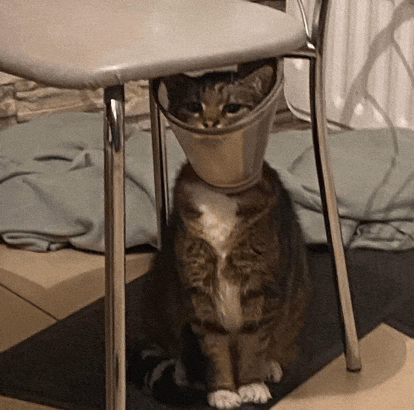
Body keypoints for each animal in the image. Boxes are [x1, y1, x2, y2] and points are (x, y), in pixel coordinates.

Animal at [128, 61, 308, 410]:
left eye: (232, 108)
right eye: (195, 106)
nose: (210, 123)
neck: (220, 194)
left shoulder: (259, 282)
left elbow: (254, 340)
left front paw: (250, 384)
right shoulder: (198, 284)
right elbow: (213, 347)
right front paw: (223, 391)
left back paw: (269, 364)